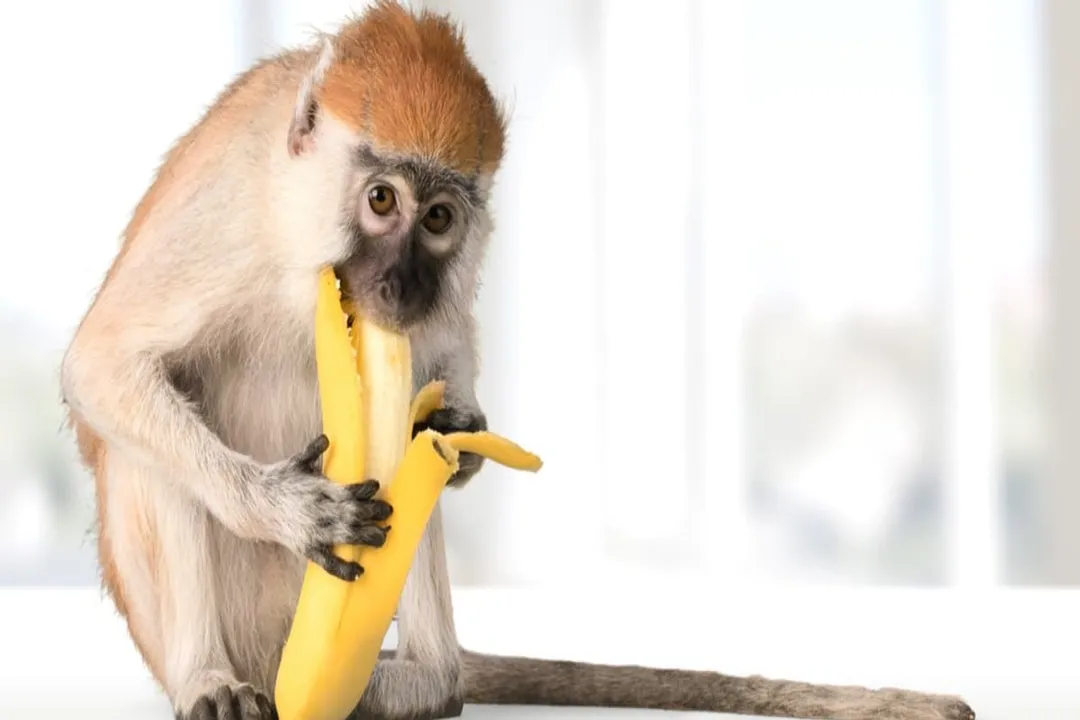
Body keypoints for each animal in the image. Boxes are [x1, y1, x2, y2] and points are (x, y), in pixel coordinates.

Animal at [59, 2, 975, 719]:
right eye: (381, 199)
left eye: (438, 218)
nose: (398, 283)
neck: (298, 222)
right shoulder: (227, 211)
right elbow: (104, 365)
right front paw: (290, 509)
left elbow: (447, 352)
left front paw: (464, 432)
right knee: (157, 444)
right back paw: (211, 679)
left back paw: (428, 684)